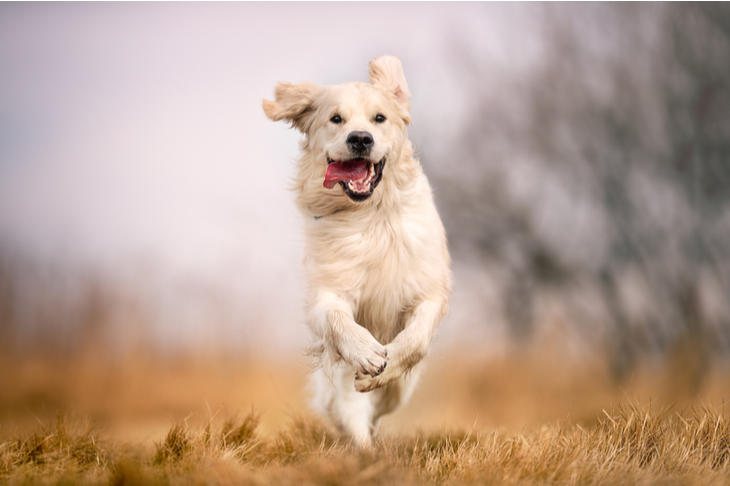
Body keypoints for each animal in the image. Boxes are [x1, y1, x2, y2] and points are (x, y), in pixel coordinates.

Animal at [262, 55, 450, 446]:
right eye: (336, 119)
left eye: (380, 118)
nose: (361, 139)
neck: (371, 215)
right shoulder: (327, 292)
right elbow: (338, 320)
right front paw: (365, 352)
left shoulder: (430, 289)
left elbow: (416, 339)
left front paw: (386, 364)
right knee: (347, 409)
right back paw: (363, 448)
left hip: (402, 390)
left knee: (381, 402)